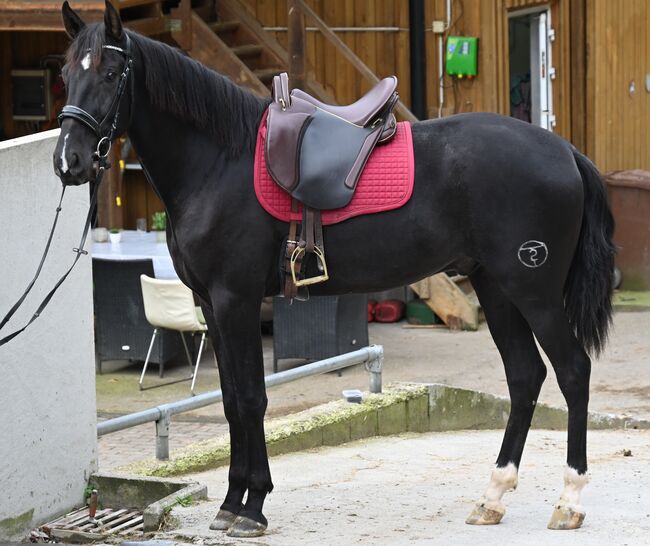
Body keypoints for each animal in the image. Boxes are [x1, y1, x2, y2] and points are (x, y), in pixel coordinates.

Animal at [54, 1, 612, 536]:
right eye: (64, 73)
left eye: (110, 73)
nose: (69, 162)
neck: (219, 161)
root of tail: (565, 151)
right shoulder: (211, 306)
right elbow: (231, 400)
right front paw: (232, 502)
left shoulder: (236, 301)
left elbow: (251, 399)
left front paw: (252, 507)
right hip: (496, 287)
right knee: (525, 375)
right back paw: (492, 497)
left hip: (534, 291)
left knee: (572, 371)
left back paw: (569, 501)